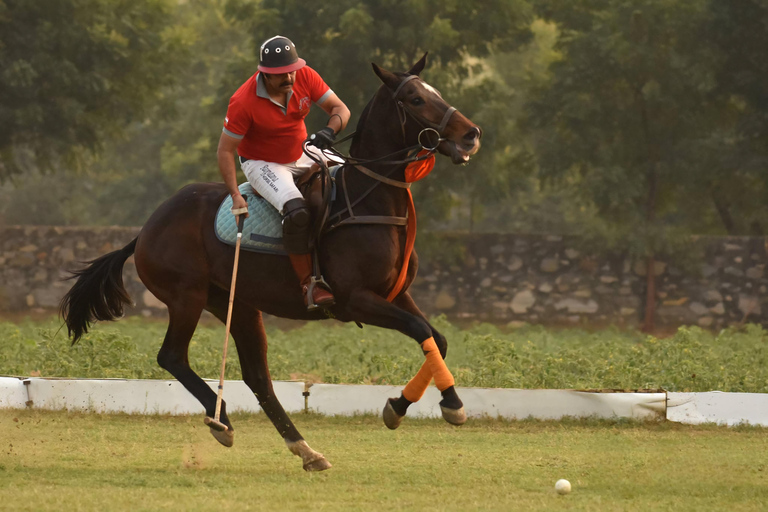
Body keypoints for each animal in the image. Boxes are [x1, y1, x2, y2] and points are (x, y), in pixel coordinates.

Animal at [60, 53, 480, 472]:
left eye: (434, 92)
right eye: (415, 99)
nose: (471, 134)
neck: (369, 201)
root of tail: (146, 229)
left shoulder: (395, 294)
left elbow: (436, 338)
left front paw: (404, 405)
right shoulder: (355, 299)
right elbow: (420, 329)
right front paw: (448, 405)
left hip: (237, 303)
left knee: (257, 376)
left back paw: (305, 449)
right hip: (186, 296)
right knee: (173, 356)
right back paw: (222, 421)